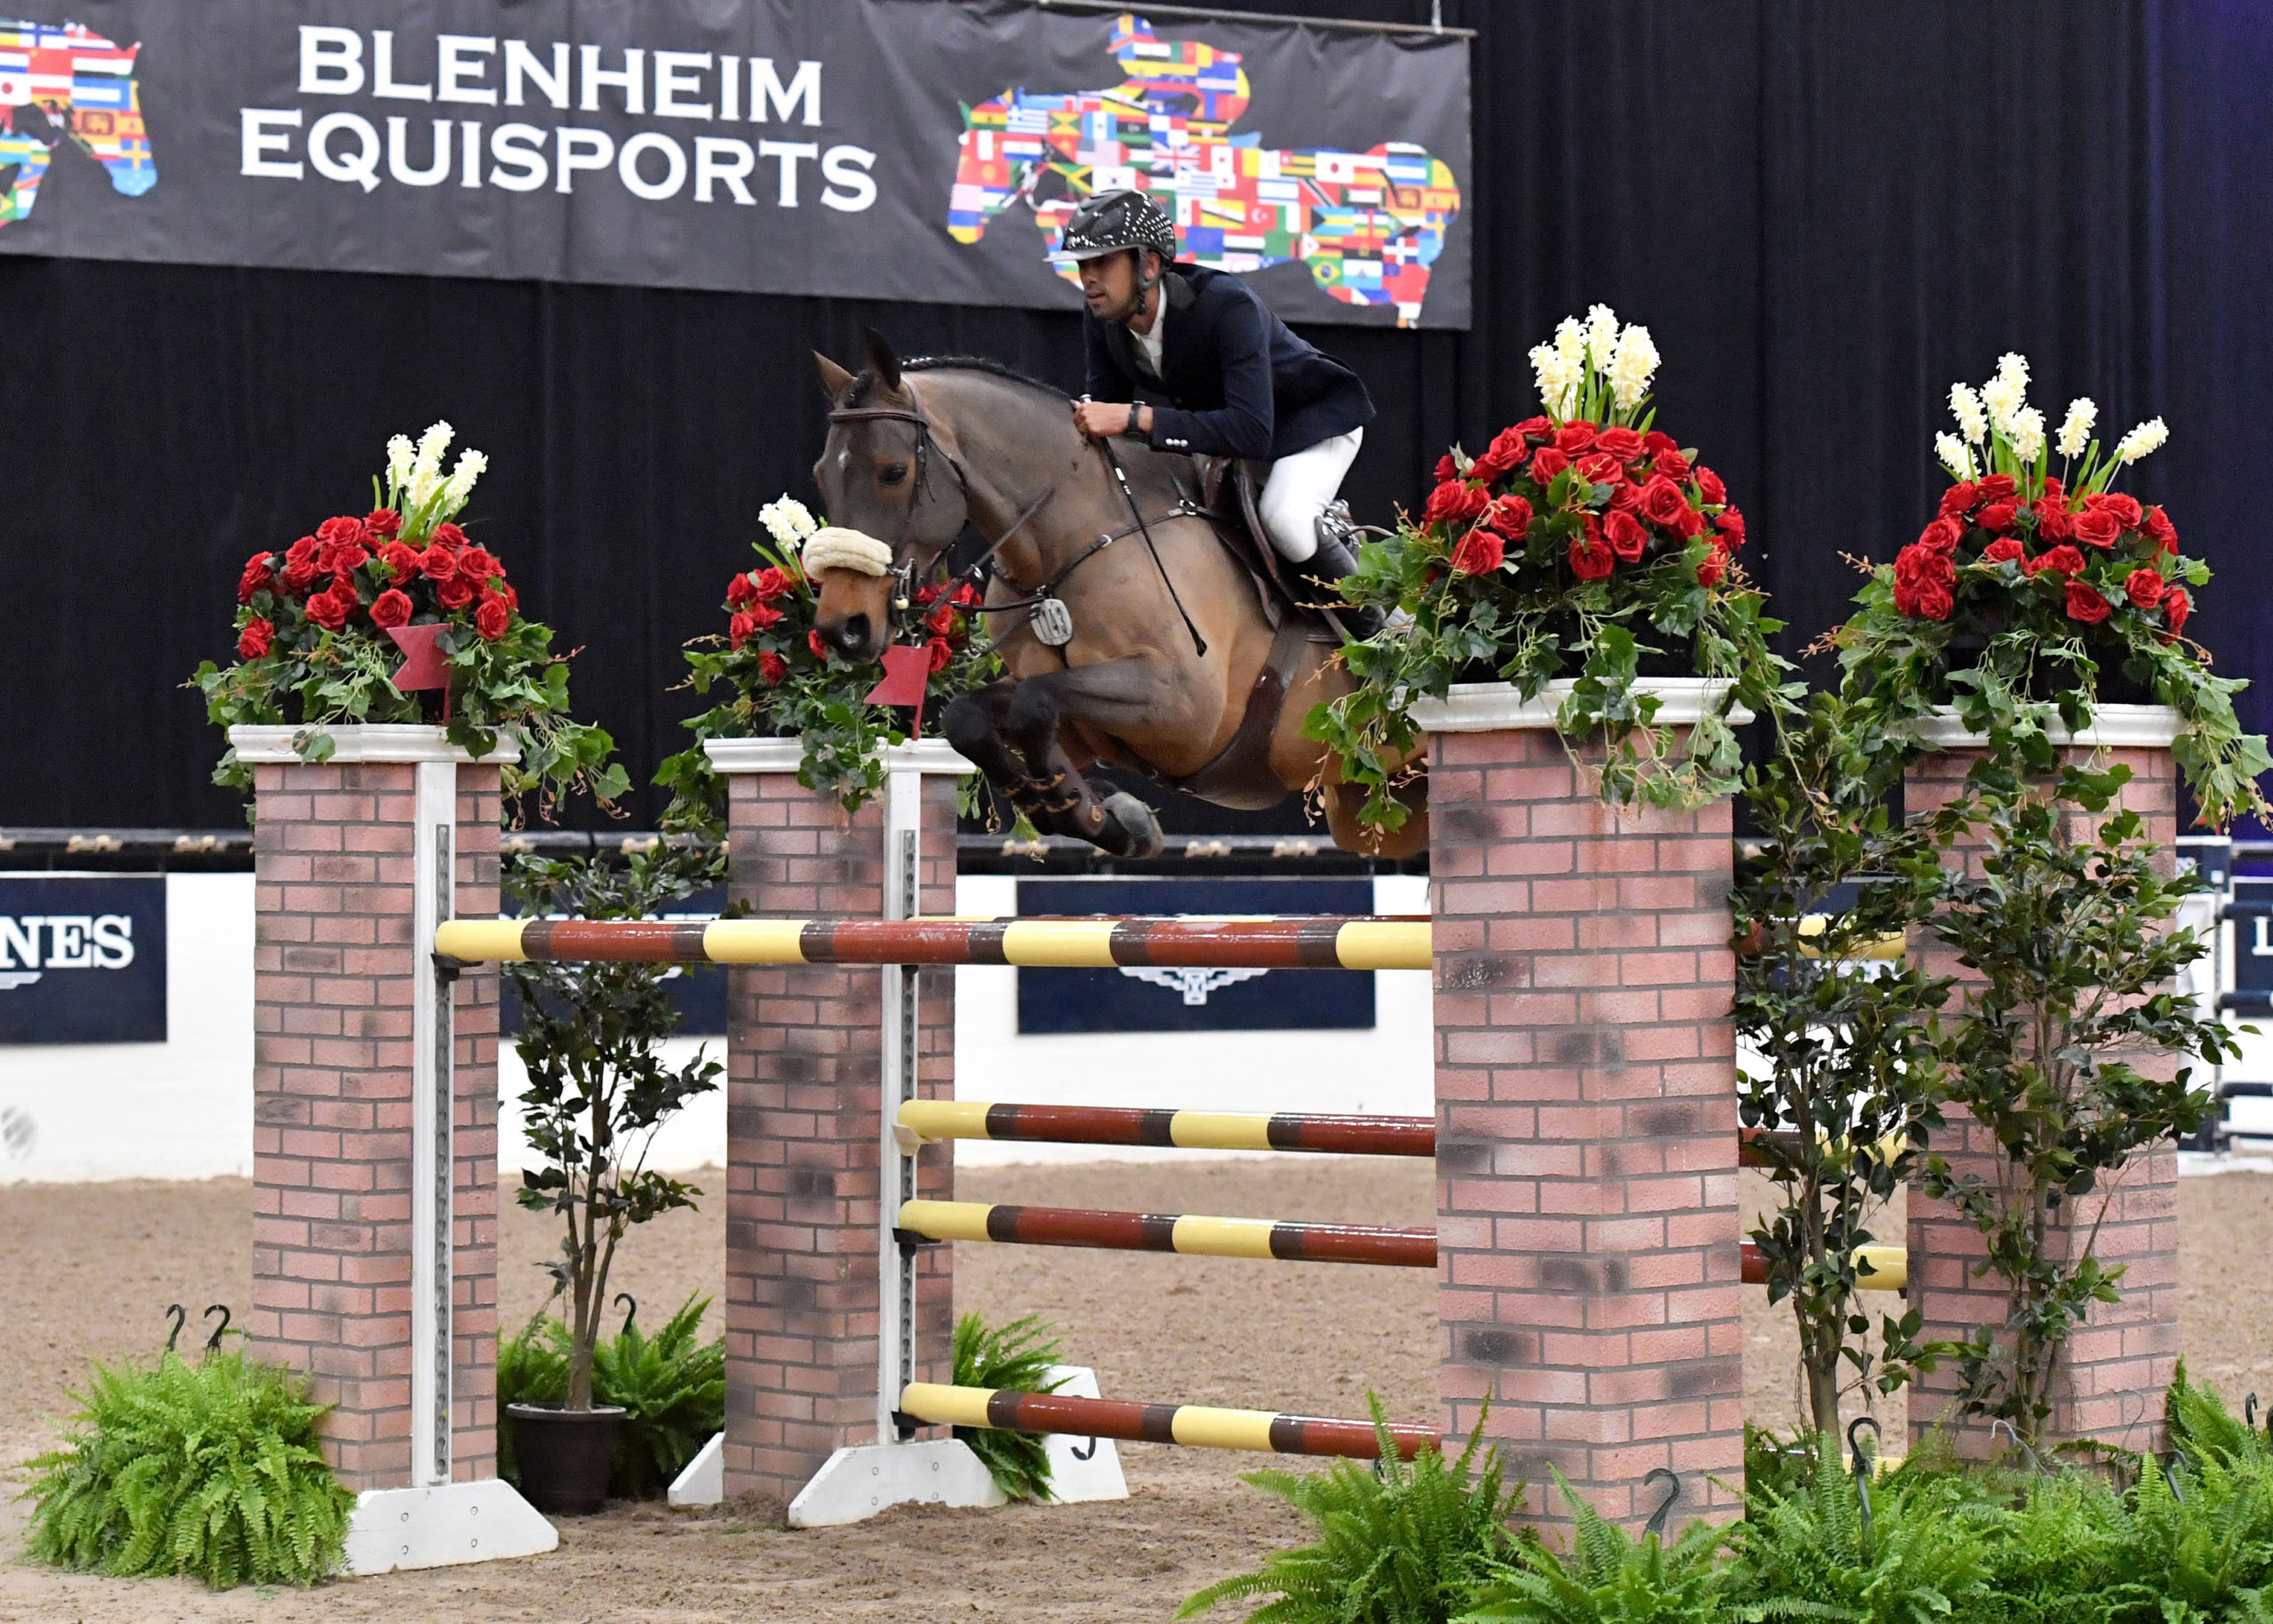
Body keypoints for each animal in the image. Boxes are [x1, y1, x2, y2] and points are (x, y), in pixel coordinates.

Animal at [809, 329, 1427, 860]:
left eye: (893, 472)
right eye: (821, 475)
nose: (844, 628)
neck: (1067, 548)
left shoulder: (1182, 708)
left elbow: (1036, 702)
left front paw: (1070, 801)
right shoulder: (1083, 725)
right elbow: (975, 716)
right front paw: (1101, 817)